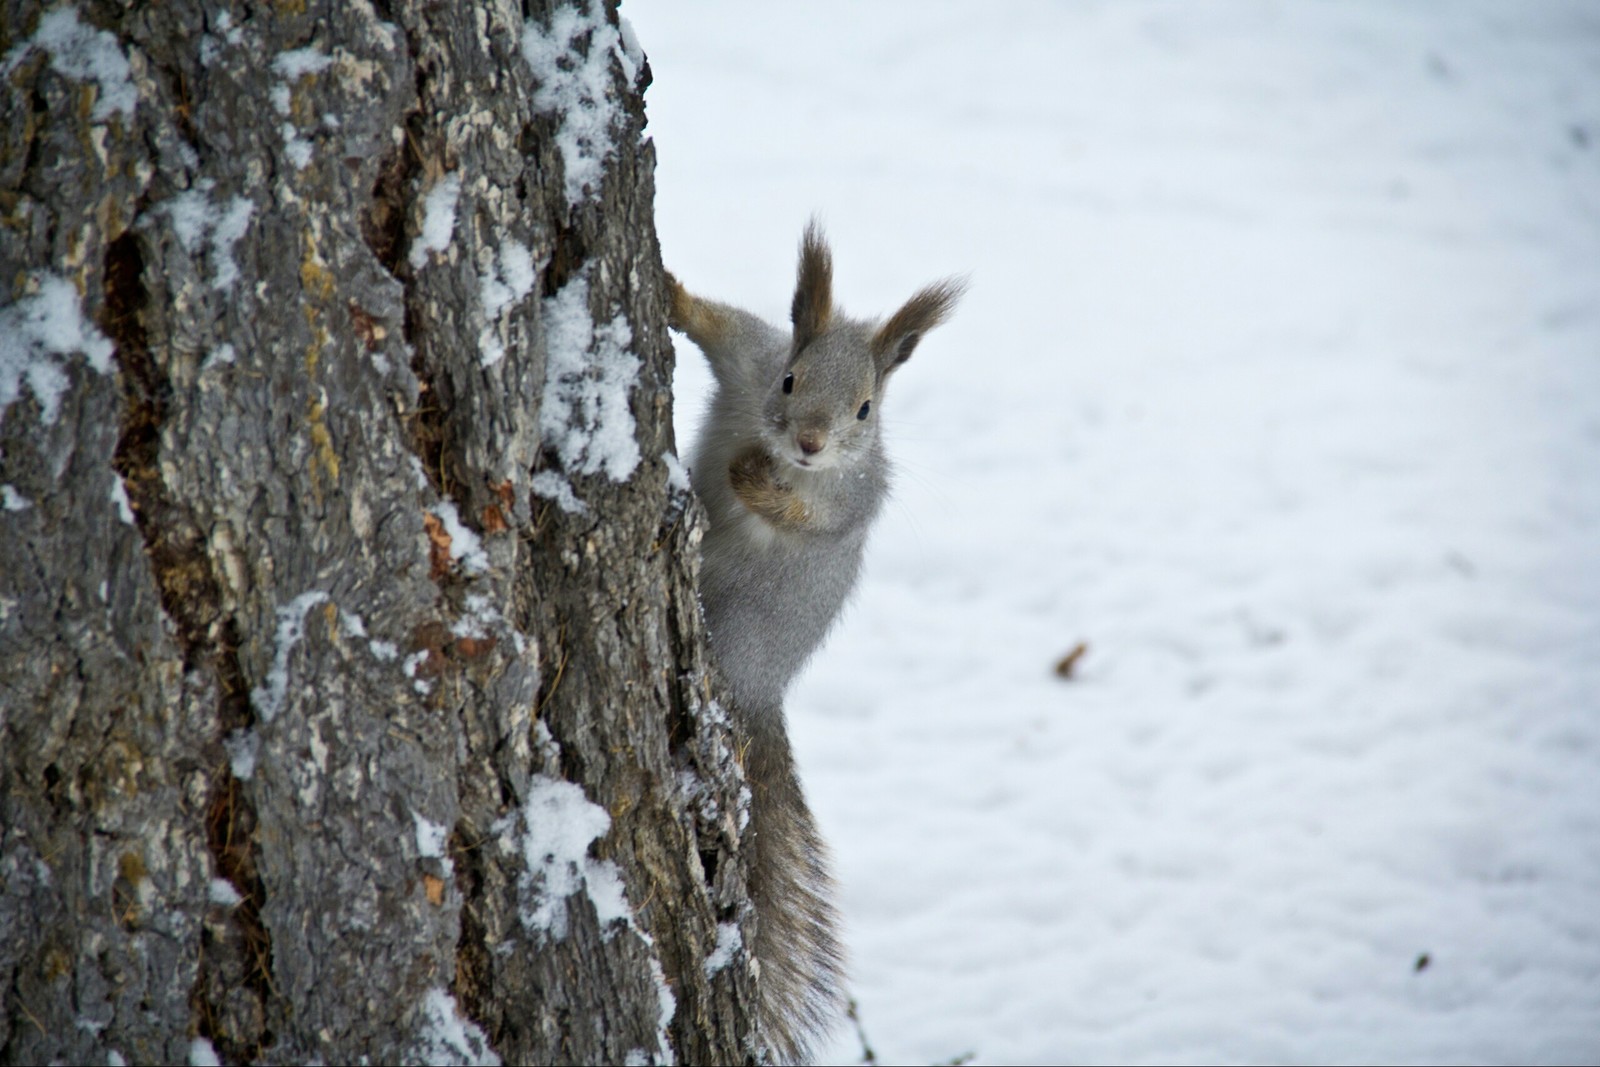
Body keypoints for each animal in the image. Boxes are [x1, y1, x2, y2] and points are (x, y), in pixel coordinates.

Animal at [665, 220, 960, 1062]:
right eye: (791, 381)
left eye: (865, 409)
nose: (808, 443)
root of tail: (764, 686)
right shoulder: (750, 357)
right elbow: (716, 323)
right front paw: (668, 290)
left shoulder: (851, 498)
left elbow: (809, 516)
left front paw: (755, 482)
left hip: (737, 624)